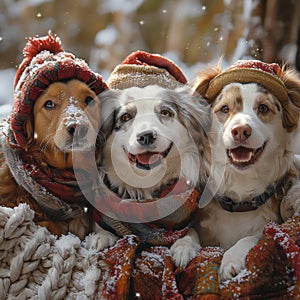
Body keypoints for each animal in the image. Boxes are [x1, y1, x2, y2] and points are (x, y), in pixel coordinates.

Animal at [192, 60, 300, 282]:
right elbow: (189, 232)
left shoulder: (271, 226)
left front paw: (230, 260)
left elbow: (254, 236)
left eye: (263, 108)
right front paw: (182, 246)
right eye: (224, 108)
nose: (241, 131)